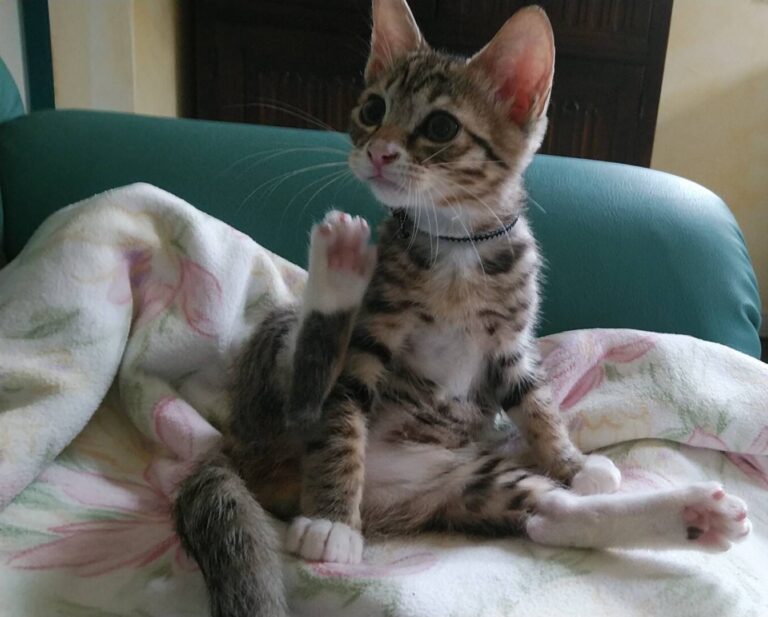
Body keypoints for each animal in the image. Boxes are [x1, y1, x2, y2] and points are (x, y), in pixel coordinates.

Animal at [173, 2, 751, 616]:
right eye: (372, 109)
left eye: (441, 127)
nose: (378, 151)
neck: (456, 242)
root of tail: (233, 452)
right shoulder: (372, 339)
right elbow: (341, 416)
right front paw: (333, 521)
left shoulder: (510, 345)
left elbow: (536, 402)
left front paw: (571, 462)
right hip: (278, 375)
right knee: (306, 398)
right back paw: (339, 268)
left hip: (466, 477)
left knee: (550, 517)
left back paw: (693, 515)